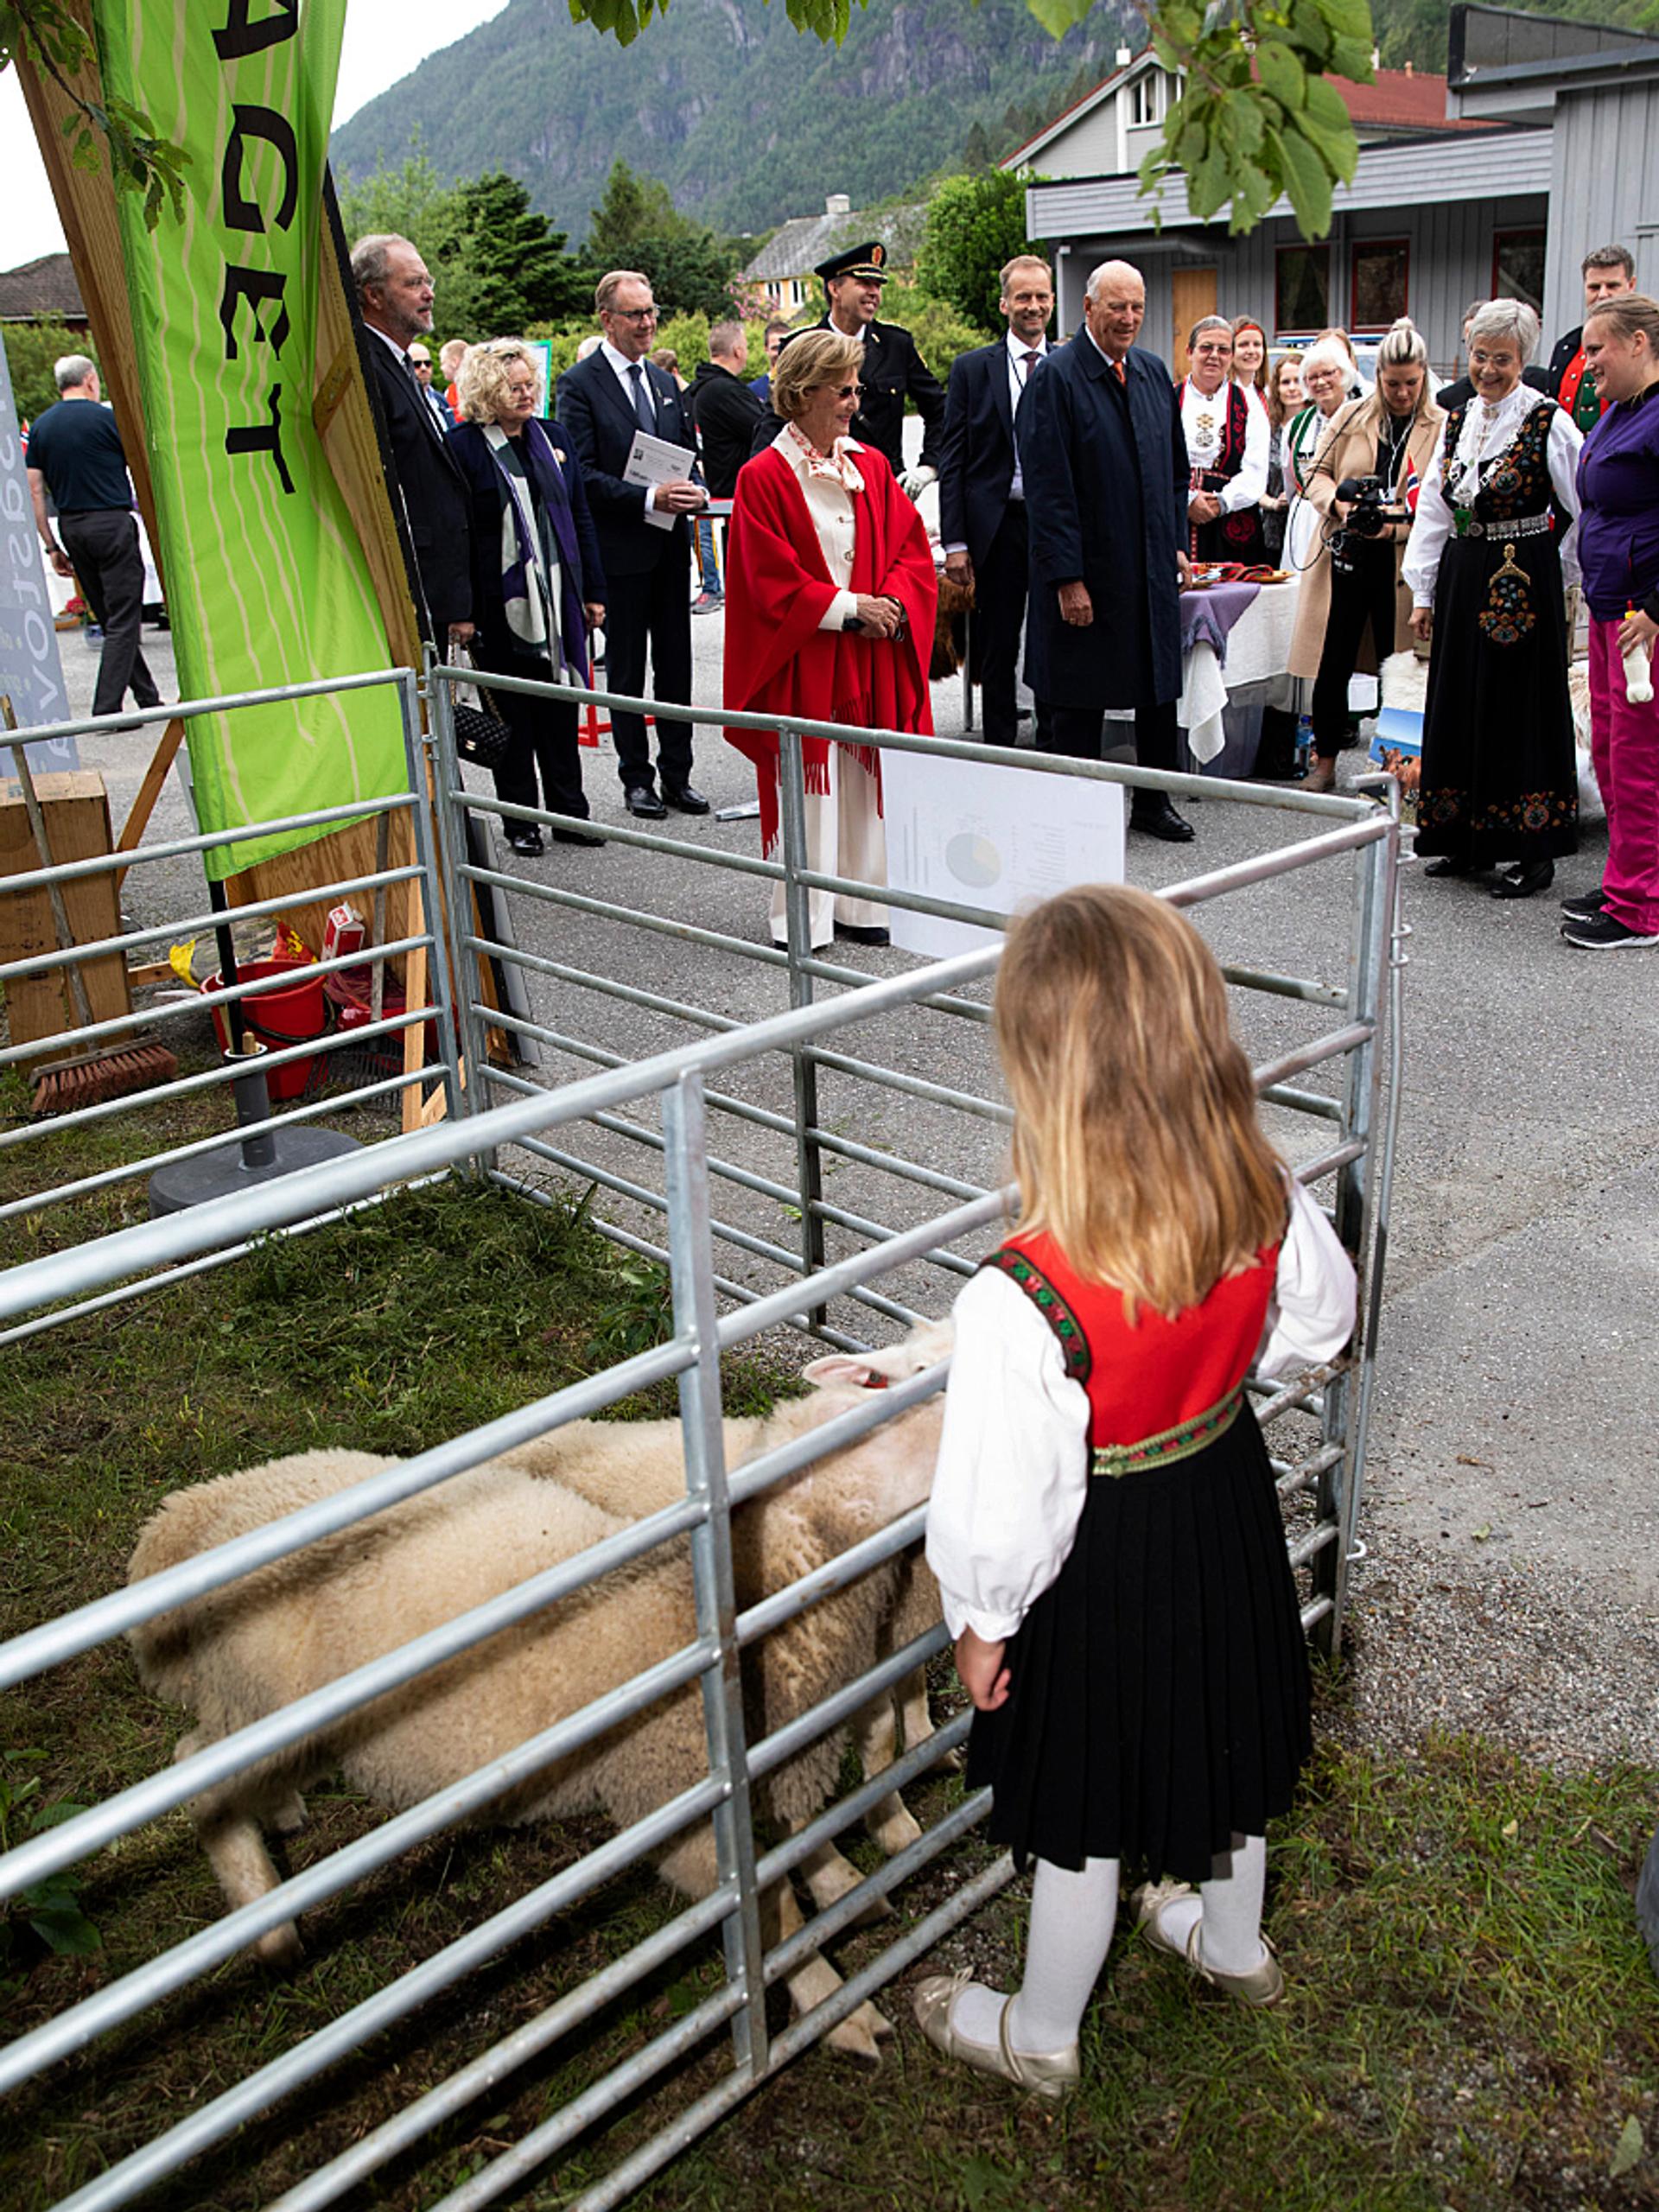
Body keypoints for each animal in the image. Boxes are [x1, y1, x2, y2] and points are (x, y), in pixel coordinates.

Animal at [127, 1324, 952, 2064]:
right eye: (892, 1393)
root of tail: (194, 1516)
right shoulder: (681, 1801)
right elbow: (770, 1911)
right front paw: (840, 2009)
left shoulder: (777, 1752)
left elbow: (805, 1842)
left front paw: (845, 1882)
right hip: (259, 1706)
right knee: (194, 1768)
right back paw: (269, 1925)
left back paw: (280, 1816)